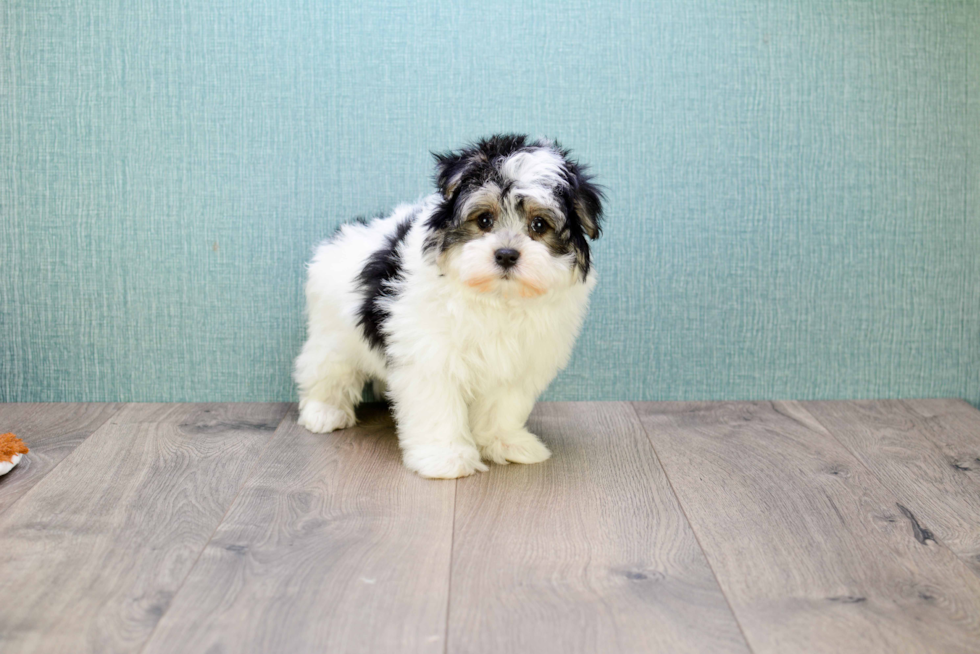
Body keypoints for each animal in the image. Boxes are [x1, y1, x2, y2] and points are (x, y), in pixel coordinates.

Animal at [296, 135, 604, 482]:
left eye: (539, 225)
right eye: (484, 220)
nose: (507, 254)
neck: (496, 297)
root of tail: (340, 236)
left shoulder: (516, 361)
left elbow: (503, 405)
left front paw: (505, 442)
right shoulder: (431, 356)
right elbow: (437, 406)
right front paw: (445, 457)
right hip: (334, 332)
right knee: (325, 369)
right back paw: (324, 411)